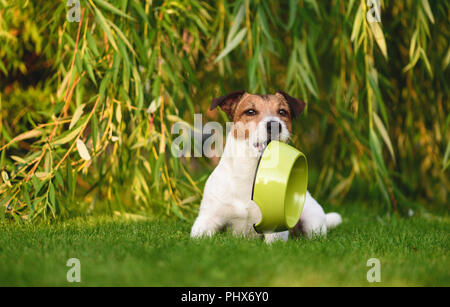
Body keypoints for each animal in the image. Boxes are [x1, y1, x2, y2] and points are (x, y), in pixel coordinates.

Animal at [190, 90, 342, 244]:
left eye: (282, 112)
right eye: (250, 111)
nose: (274, 125)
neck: (253, 173)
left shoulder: (275, 230)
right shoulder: (206, 219)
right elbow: (197, 237)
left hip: (312, 218)